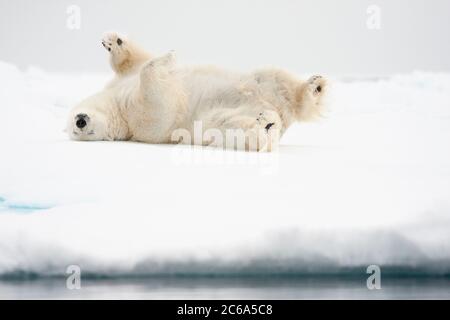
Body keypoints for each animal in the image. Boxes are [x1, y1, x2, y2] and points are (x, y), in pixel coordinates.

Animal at [67, 32, 326, 151]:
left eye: (75, 123)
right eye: (77, 131)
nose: (81, 121)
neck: (116, 106)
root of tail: (283, 114)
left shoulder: (122, 82)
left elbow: (136, 62)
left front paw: (113, 41)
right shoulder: (141, 123)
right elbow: (159, 106)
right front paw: (169, 57)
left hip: (263, 84)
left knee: (277, 79)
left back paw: (316, 86)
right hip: (216, 123)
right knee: (235, 129)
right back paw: (266, 124)